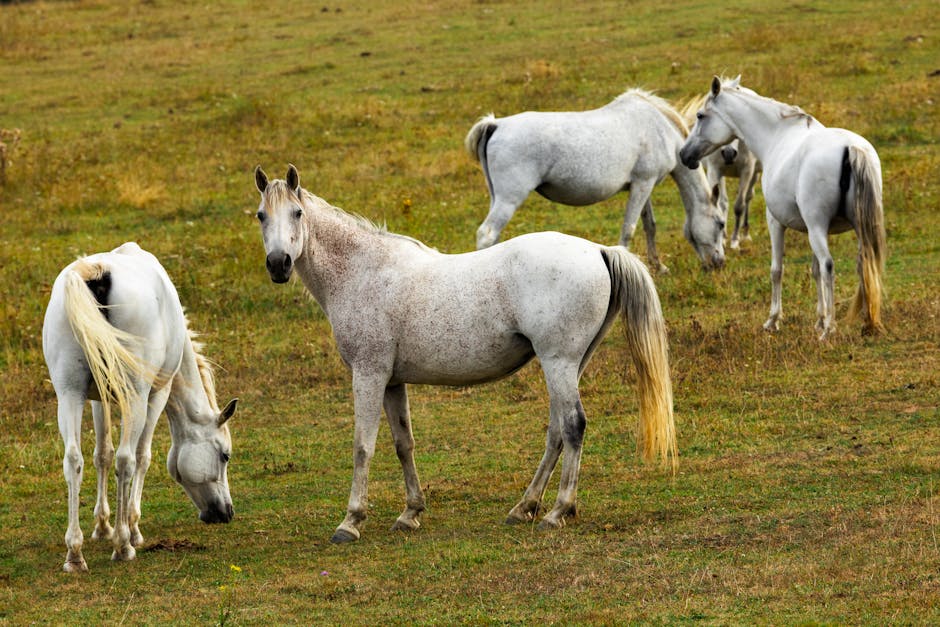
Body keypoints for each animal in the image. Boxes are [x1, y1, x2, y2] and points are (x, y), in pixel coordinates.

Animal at [43, 242, 239, 576]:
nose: (226, 512)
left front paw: (102, 526)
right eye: (224, 455)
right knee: (127, 460)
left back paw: (75, 553)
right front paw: (131, 528)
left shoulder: (96, 398)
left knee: (73, 460)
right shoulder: (157, 394)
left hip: (69, 394)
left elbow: (101, 455)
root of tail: (96, 272)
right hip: (135, 394)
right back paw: (123, 545)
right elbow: (142, 456)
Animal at [250, 166, 676, 544]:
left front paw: (351, 521)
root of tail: (600, 250)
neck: (362, 272)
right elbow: (403, 444)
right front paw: (411, 513)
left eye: (297, 213)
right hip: (571, 364)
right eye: (260, 215)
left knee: (572, 426)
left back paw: (557, 511)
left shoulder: (368, 375)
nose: (278, 265)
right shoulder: (392, 381)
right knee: (557, 430)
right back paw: (524, 507)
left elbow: (362, 446)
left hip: (560, 362)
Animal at [466, 88, 724, 272]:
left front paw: (659, 266)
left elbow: (649, 225)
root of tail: (497, 124)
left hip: (497, 198)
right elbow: (629, 229)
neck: (660, 128)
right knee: (487, 233)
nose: (719, 263)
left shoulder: (643, 185)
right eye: (721, 223)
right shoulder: (643, 184)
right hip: (509, 199)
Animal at [680, 79, 884, 344]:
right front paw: (818, 320)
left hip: (818, 228)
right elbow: (814, 271)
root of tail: (851, 148)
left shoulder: (777, 222)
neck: (777, 135)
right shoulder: (812, 229)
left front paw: (773, 320)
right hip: (856, 228)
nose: (685, 155)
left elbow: (778, 270)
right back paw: (868, 323)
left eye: (701, 115)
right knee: (863, 263)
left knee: (828, 266)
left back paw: (830, 330)